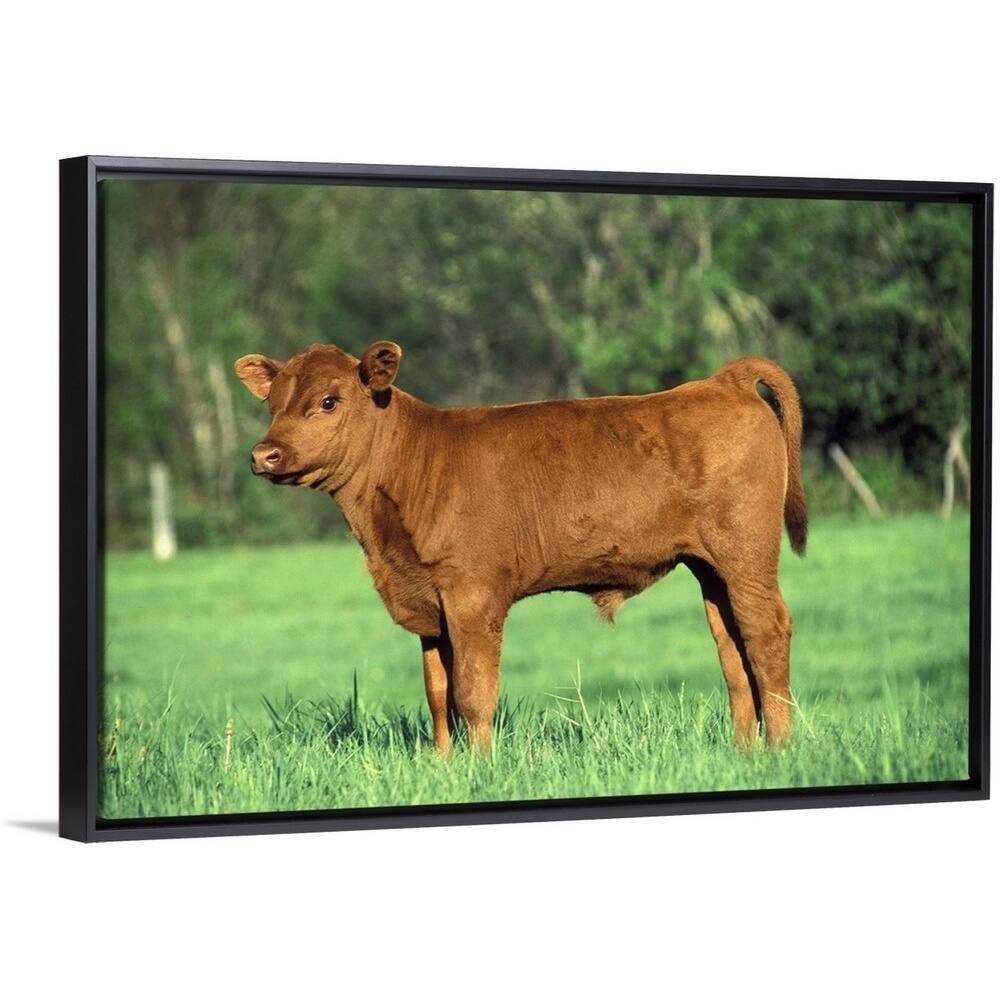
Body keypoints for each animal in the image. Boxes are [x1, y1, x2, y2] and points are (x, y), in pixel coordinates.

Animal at [235, 342, 807, 753]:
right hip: (710, 567)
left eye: (328, 401)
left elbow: (471, 691)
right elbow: (437, 692)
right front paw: (444, 766)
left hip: (746, 553)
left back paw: (779, 748)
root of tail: (721, 382)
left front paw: (480, 767)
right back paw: (743, 750)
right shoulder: (429, 603)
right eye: (272, 404)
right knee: (731, 645)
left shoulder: (472, 594)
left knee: (765, 632)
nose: (264, 454)